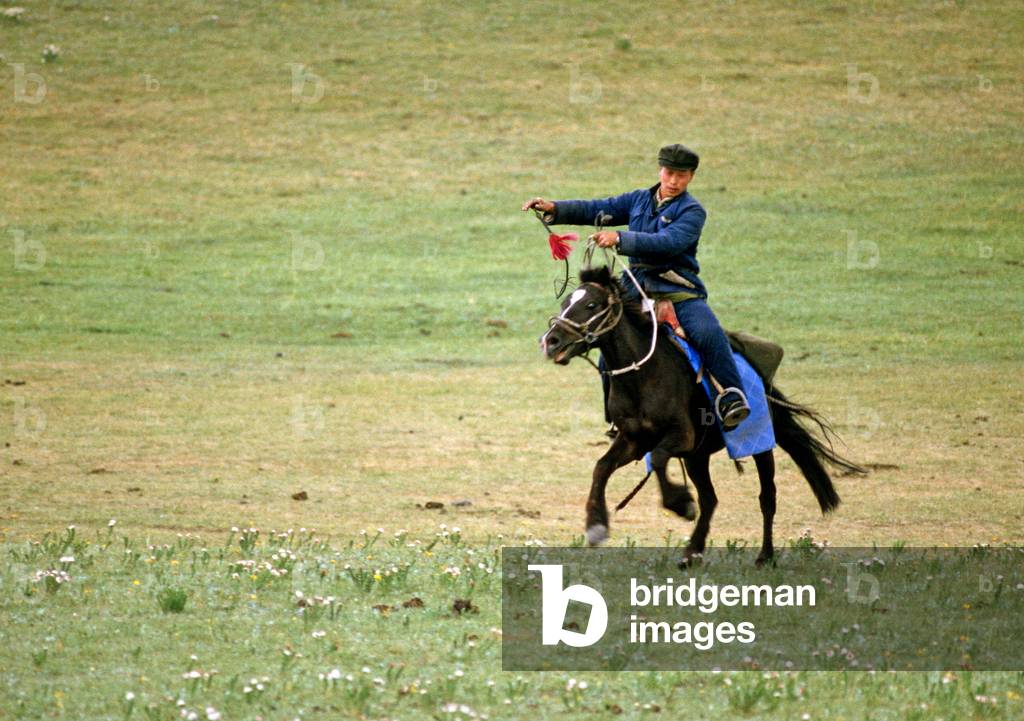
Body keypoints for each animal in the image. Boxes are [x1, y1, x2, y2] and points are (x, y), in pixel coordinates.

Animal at [540, 264, 865, 566]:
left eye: (592, 305)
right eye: (566, 301)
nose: (550, 341)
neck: (642, 375)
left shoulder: (681, 436)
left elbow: (659, 458)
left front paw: (681, 503)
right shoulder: (633, 440)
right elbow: (602, 467)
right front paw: (596, 525)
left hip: (759, 445)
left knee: (767, 497)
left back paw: (764, 556)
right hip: (697, 457)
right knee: (710, 499)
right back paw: (691, 552)